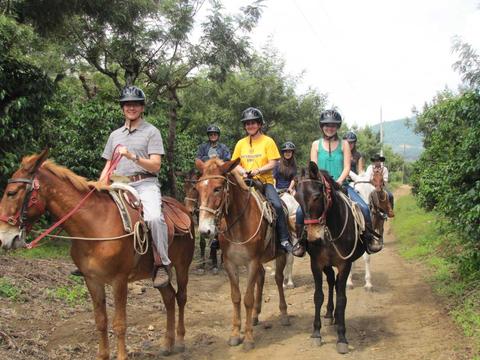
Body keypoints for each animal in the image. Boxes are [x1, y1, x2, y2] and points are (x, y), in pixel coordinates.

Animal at [0, 150, 195, 360]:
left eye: (12, 193)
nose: (4, 238)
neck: (95, 226)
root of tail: (183, 209)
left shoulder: (119, 281)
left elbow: (119, 324)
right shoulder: (92, 280)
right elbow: (101, 321)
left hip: (182, 266)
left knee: (181, 297)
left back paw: (180, 341)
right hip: (157, 274)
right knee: (169, 298)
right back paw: (167, 344)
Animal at [194, 159, 288, 350]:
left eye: (218, 188)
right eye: (198, 188)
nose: (205, 230)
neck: (238, 224)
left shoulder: (252, 262)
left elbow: (248, 299)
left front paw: (249, 338)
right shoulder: (230, 263)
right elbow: (236, 298)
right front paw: (236, 334)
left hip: (280, 255)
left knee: (278, 279)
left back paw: (284, 314)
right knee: (262, 276)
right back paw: (255, 316)